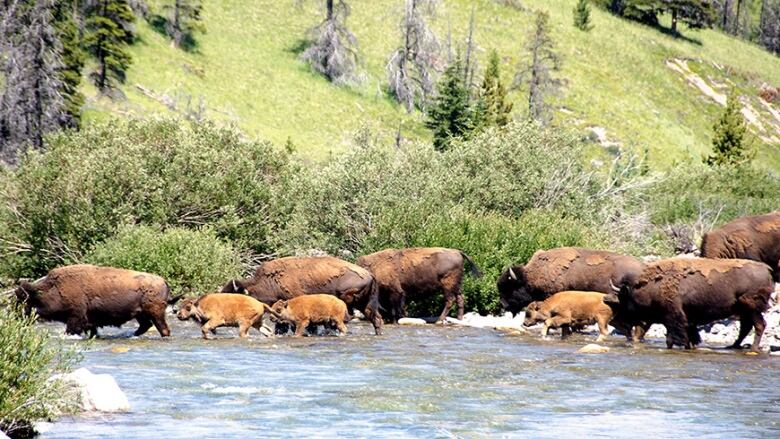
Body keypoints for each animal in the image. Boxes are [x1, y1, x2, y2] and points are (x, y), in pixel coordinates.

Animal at [14, 264, 179, 340]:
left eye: (24, 299)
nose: (17, 317)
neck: (54, 287)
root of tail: (163, 281)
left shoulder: (75, 317)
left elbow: (72, 330)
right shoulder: (89, 321)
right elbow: (92, 330)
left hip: (156, 313)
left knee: (163, 328)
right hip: (141, 314)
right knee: (145, 325)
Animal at [354, 248, 482, 324]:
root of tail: (458, 252)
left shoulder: (396, 291)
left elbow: (395, 307)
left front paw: (396, 319)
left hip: (448, 286)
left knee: (450, 300)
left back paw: (439, 320)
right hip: (456, 285)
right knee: (460, 298)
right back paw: (459, 318)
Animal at [600, 260, 772, 352]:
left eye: (623, 297)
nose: (607, 299)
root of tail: (767, 269)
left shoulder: (673, 317)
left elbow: (673, 338)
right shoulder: (687, 320)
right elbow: (688, 337)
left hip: (752, 308)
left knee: (759, 325)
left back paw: (753, 348)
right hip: (744, 310)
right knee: (746, 327)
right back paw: (733, 346)